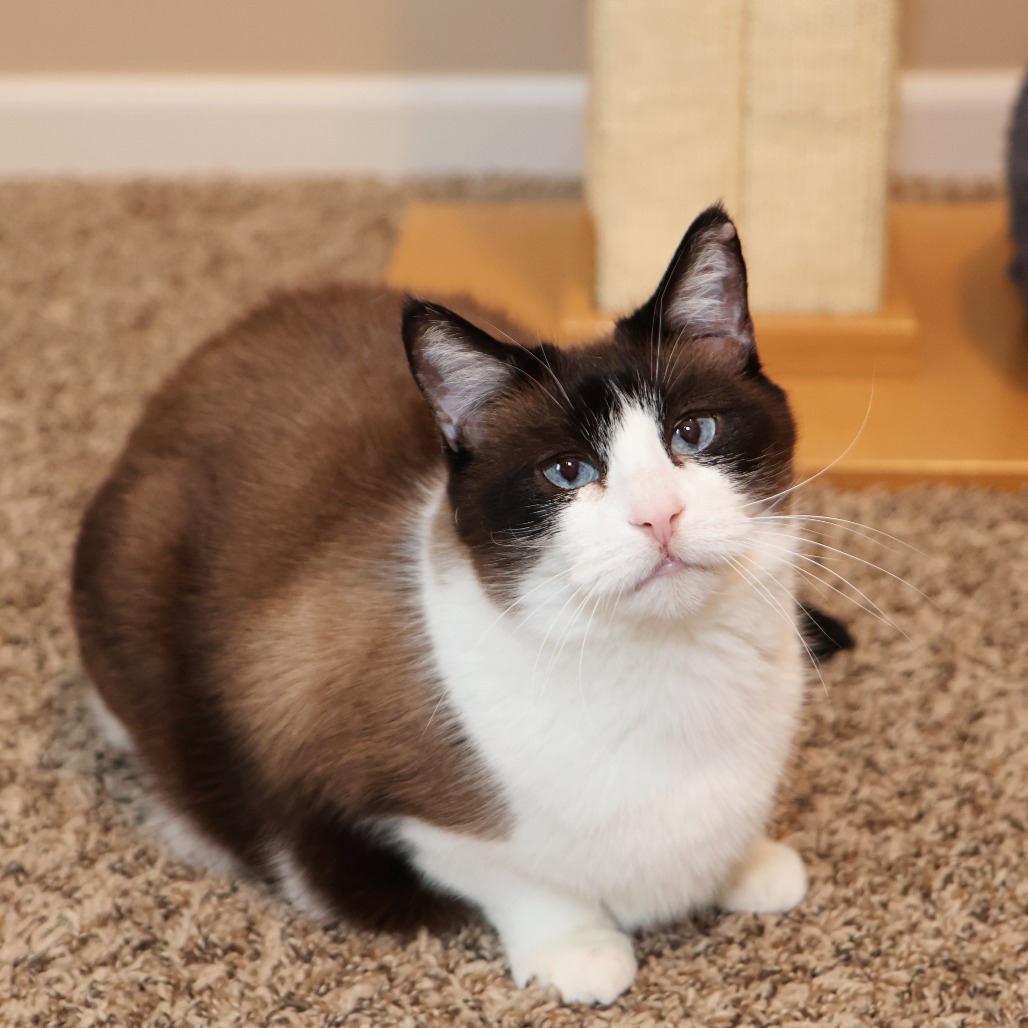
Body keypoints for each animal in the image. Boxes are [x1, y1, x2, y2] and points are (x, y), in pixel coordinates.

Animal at [72, 206, 851, 1003]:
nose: (659, 516)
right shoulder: (378, 813)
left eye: (693, 433)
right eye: (568, 473)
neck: (671, 671)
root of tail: (206, 354)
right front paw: (580, 951)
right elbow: (512, 879)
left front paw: (750, 865)